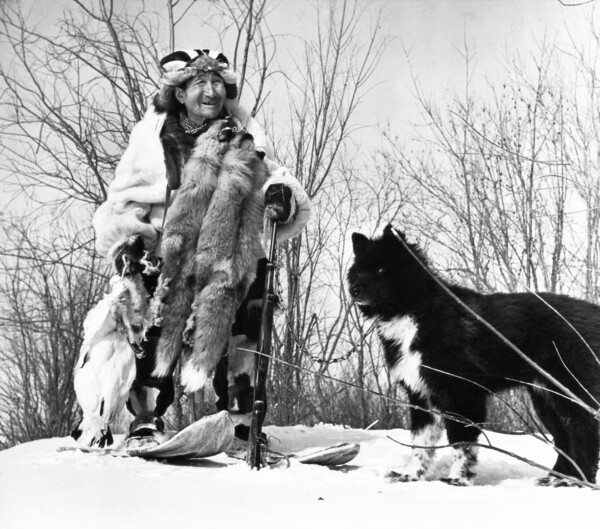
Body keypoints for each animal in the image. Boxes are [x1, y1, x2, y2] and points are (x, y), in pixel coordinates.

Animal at [346, 223, 600, 482]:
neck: (415, 311)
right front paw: (410, 476)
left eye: (380, 269)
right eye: (359, 271)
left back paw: (575, 482)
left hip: (570, 394)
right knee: (565, 440)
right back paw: (557, 478)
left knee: (584, 436)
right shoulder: (421, 396)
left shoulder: (462, 394)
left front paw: (457, 479)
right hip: (546, 399)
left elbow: (461, 443)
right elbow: (420, 444)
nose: (354, 290)